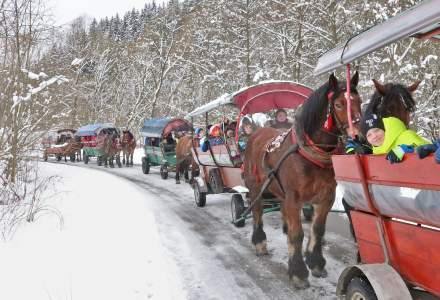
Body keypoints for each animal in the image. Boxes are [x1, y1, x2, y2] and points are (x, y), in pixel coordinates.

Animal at [244, 72, 360, 288]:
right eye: (339, 104)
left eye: (359, 100)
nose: (358, 134)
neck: (311, 154)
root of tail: (257, 133)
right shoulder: (294, 199)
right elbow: (297, 235)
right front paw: (298, 272)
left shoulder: (326, 198)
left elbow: (318, 229)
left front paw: (316, 263)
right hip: (256, 187)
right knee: (257, 213)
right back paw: (260, 242)